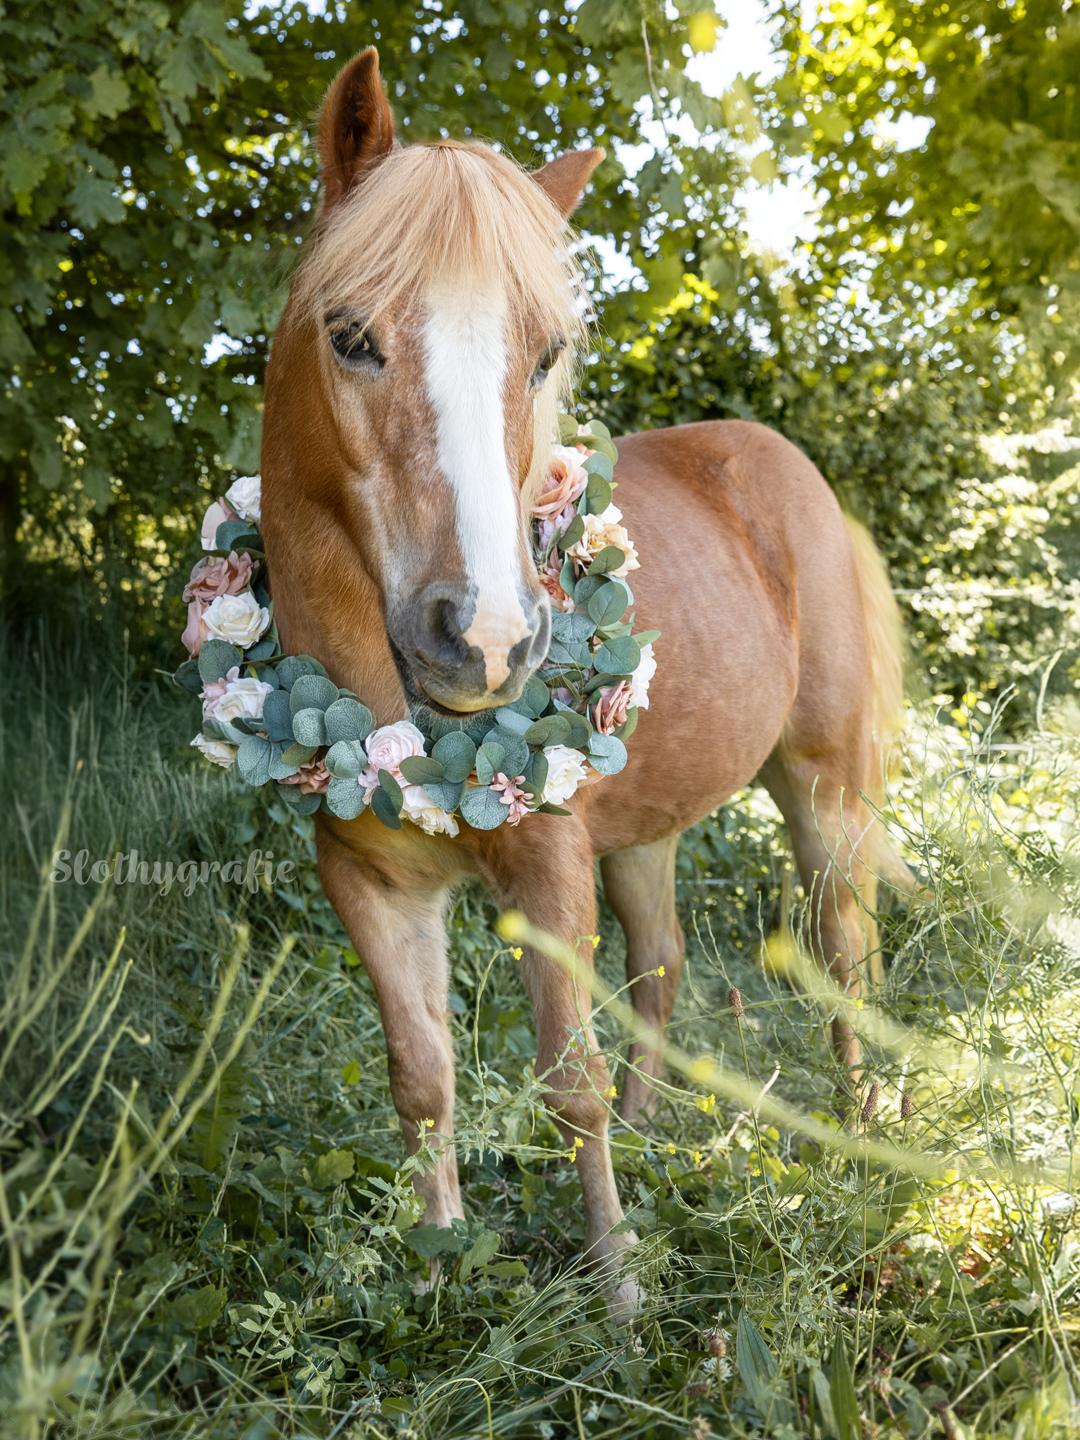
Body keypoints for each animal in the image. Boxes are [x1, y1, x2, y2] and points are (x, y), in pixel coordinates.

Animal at [260, 48, 909, 1309]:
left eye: (546, 353)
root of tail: (786, 467)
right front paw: (438, 1274)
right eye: (349, 334)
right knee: (663, 965)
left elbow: (570, 1081)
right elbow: (423, 1079)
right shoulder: (370, 886)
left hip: (822, 795)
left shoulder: (548, 878)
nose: (489, 642)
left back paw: (861, 1132)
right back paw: (663, 1138)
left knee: (842, 960)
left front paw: (619, 1299)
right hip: (648, 824)